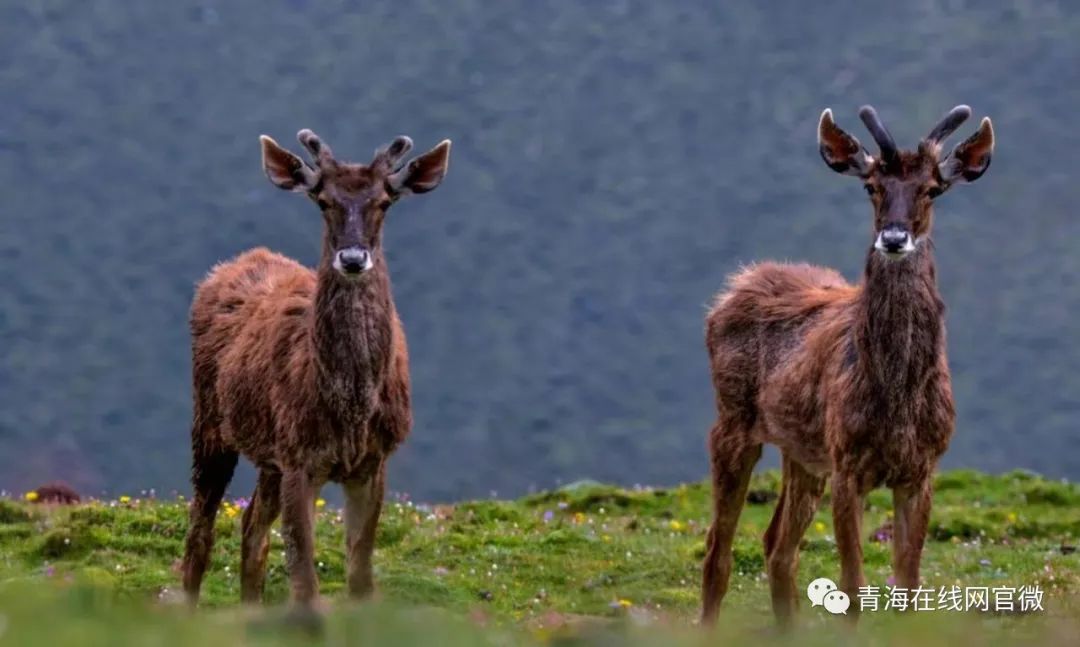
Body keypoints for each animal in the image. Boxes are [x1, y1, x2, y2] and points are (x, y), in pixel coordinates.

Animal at [181, 127, 451, 613]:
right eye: (323, 200)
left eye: (384, 200)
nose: (352, 259)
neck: (351, 411)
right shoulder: (300, 457)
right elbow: (304, 577)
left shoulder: (374, 459)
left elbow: (359, 574)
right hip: (208, 421)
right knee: (200, 532)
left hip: (267, 452)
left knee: (251, 527)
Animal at [699, 106, 993, 626]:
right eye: (871, 185)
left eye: (932, 188)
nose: (894, 237)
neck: (897, 402)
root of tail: (736, 286)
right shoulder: (847, 463)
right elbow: (854, 585)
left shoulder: (923, 466)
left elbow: (908, 584)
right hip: (732, 420)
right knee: (719, 549)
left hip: (802, 450)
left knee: (777, 547)